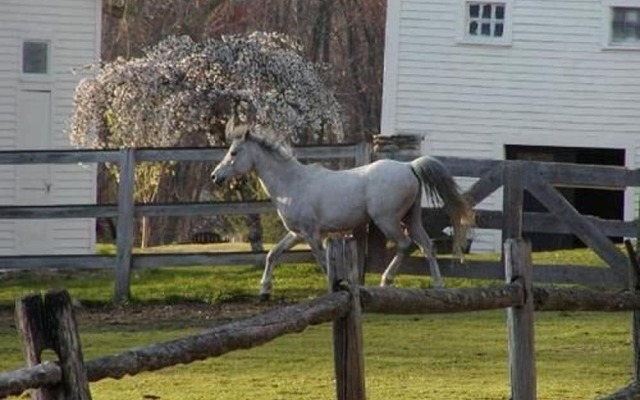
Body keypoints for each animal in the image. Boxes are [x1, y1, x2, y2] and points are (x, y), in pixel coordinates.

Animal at [211, 121, 474, 300]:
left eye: (234, 152)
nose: (215, 176)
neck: (292, 183)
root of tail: (409, 166)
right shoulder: (297, 233)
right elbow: (273, 254)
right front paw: (264, 291)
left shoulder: (311, 233)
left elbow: (321, 260)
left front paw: (334, 286)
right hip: (412, 218)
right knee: (427, 246)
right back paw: (438, 285)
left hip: (387, 220)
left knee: (405, 245)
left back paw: (385, 280)